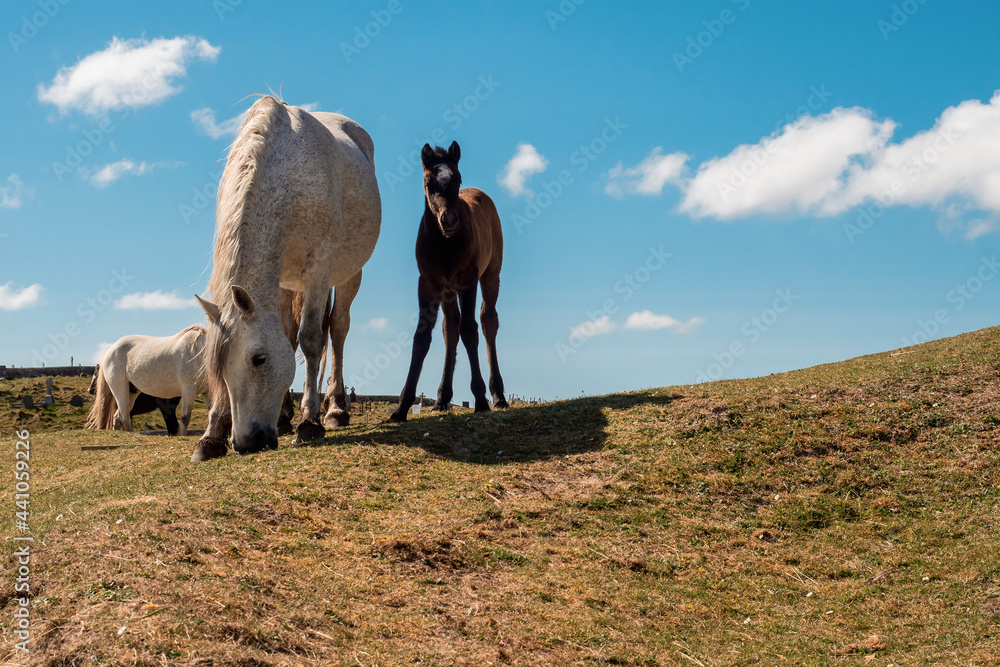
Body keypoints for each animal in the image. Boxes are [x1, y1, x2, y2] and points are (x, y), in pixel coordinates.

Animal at [192, 96, 381, 462]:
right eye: (217, 369)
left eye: (259, 359)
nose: (245, 442)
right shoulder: (277, 282)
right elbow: (290, 337)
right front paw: (211, 436)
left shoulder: (320, 265)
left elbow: (311, 339)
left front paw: (310, 422)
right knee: (293, 333)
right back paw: (282, 418)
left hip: (348, 274)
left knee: (337, 329)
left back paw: (335, 409)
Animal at [389, 142, 508, 422]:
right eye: (427, 182)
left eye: (458, 179)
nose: (449, 219)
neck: (444, 244)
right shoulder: (428, 284)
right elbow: (422, 337)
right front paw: (401, 407)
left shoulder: (467, 281)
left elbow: (470, 330)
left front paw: (480, 400)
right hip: (447, 291)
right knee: (449, 328)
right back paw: (443, 398)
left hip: (490, 275)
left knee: (487, 321)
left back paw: (498, 395)